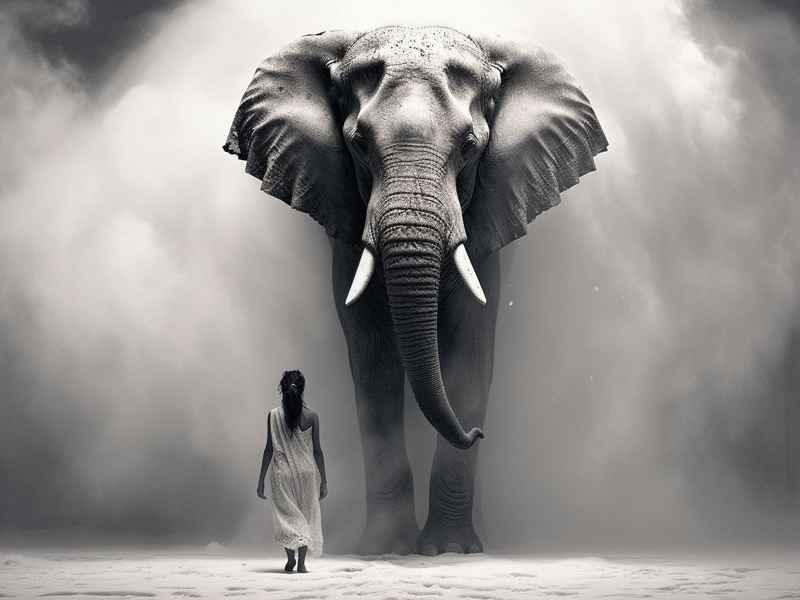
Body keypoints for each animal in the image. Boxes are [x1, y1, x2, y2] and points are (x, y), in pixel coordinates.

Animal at [224, 26, 607, 555]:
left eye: (470, 146)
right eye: (359, 145)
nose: (478, 433)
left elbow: (469, 353)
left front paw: (447, 551)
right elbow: (373, 358)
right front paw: (386, 548)